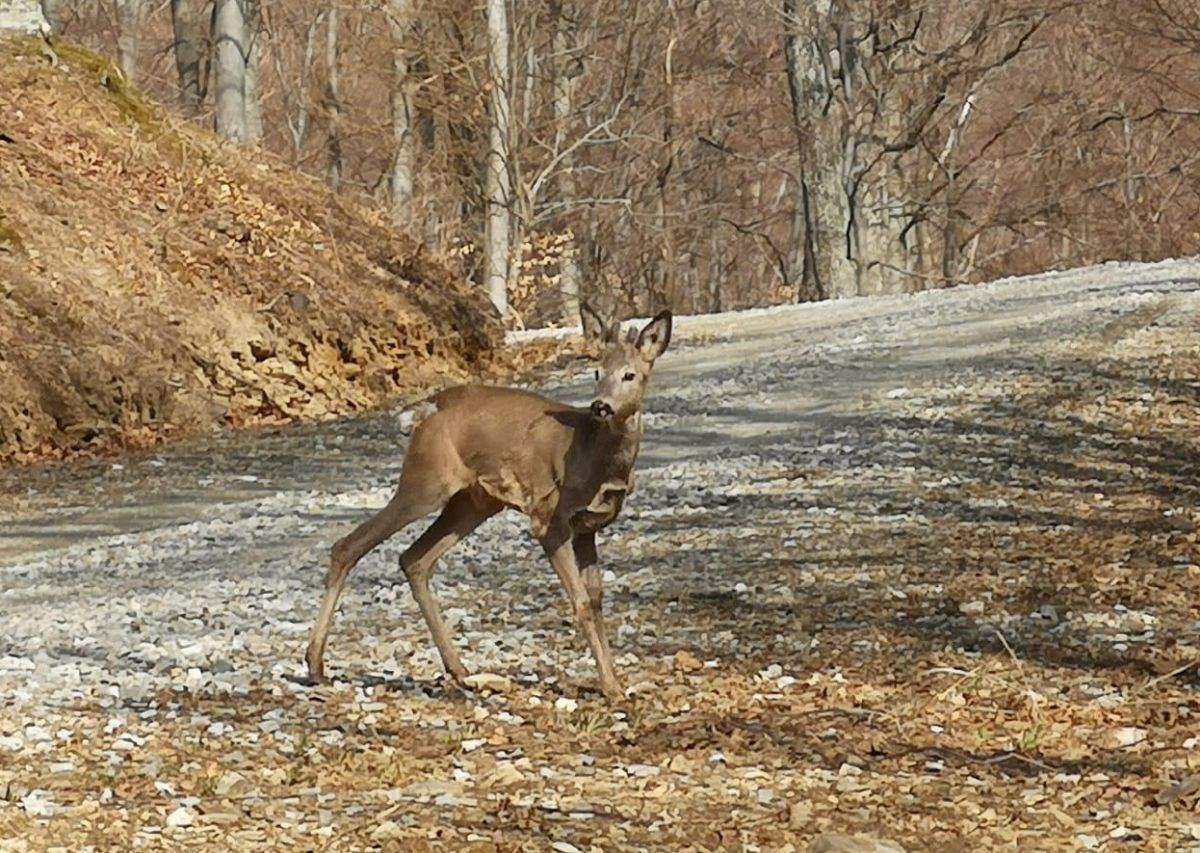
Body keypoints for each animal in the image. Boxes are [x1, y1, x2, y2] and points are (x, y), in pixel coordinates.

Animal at [304, 307, 672, 700]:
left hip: (474, 501)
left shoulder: (589, 527)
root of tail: (424, 411)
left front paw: (614, 678)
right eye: (597, 372)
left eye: (630, 374)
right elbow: (582, 602)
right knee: (349, 545)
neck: (598, 457)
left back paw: (459, 669)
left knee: (414, 558)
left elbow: (598, 601)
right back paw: (315, 664)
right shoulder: (548, 517)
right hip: (426, 481)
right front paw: (611, 687)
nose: (600, 406)